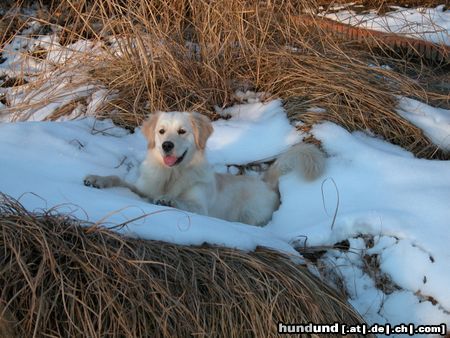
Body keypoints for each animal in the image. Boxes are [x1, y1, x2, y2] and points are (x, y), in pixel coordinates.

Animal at [83, 112, 324, 226]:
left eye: (182, 131)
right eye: (161, 131)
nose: (166, 145)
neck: (172, 175)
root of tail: (266, 181)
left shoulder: (201, 207)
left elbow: (183, 201)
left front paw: (168, 199)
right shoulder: (143, 189)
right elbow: (118, 179)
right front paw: (96, 179)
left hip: (251, 213)